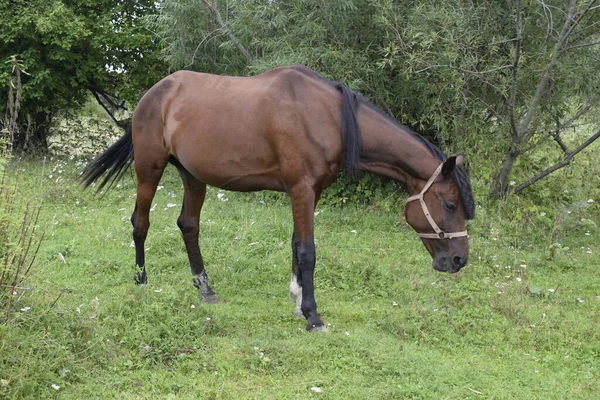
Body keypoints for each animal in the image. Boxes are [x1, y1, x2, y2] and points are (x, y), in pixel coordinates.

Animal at [81, 65, 474, 332]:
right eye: (450, 204)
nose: (459, 260)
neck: (328, 116)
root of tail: (154, 93)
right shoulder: (301, 188)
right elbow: (307, 250)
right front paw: (313, 316)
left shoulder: (309, 192)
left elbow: (295, 245)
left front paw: (298, 301)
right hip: (150, 168)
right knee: (141, 222)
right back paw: (141, 282)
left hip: (193, 176)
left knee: (188, 225)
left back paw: (206, 290)